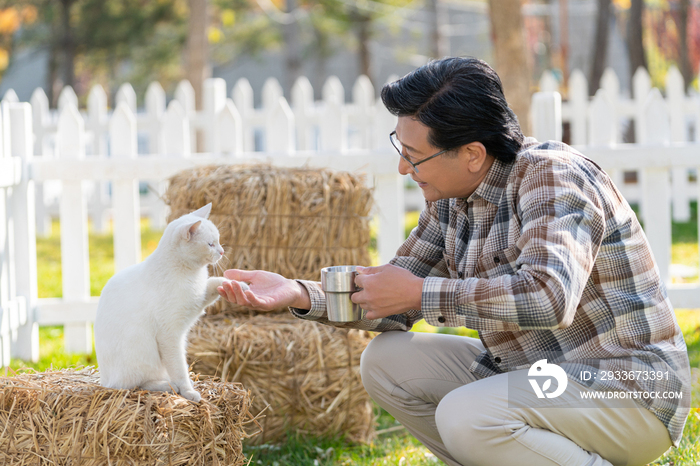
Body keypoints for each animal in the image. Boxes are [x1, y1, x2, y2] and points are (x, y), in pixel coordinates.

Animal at [94, 202, 227, 402]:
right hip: (142, 355)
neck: (190, 273)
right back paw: (168, 386)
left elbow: (213, 283)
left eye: (218, 241)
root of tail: (104, 381)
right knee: (135, 384)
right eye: (210, 244)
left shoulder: (197, 302)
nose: (222, 251)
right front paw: (188, 391)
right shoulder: (169, 335)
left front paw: (237, 284)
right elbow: (179, 369)